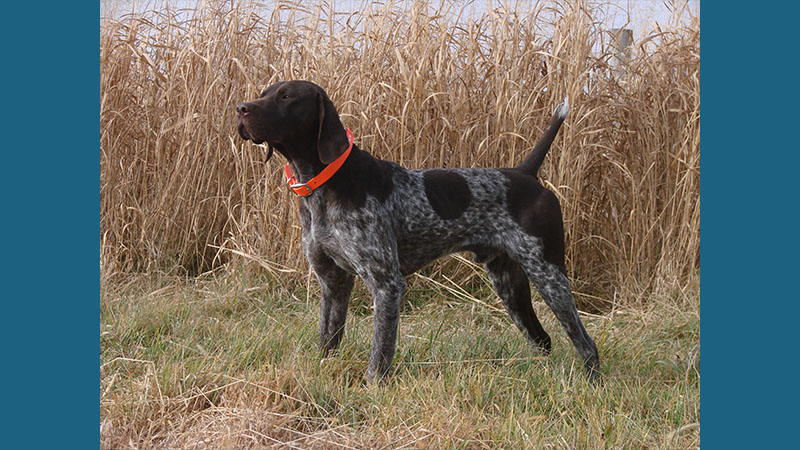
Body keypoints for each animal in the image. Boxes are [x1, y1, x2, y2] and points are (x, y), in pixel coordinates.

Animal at [238, 79, 600, 382]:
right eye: (264, 92)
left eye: (286, 97)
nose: (241, 108)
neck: (323, 186)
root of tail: (525, 172)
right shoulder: (333, 282)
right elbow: (328, 339)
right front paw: (321, 373)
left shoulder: (386, 284)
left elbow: (380, 351)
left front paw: (373, 389)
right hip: (509, 282)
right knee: (543, 339)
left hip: (549, 274)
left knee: (586, 343)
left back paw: (591, 383)